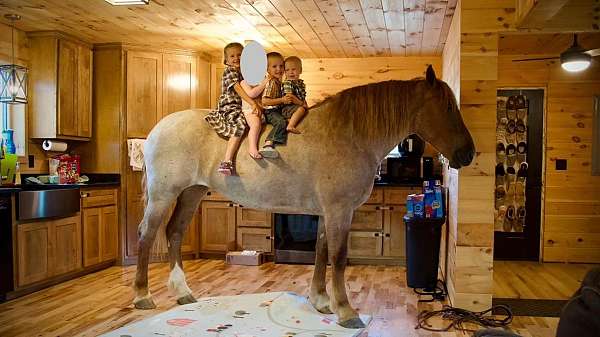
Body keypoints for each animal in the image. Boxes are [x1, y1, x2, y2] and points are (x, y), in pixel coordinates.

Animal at [135, 64, 474, 326]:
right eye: (447, 107)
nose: (468, 154)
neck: (350, 136)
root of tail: (156, 130)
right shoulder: (339, 211)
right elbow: (338, 257)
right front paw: (346, 312)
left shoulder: (328, 213)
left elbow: (321, 252)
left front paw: (321, 302)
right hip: (163, 196)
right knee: (148, 236)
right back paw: (142, 295)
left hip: (191, 193)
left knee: (174, 233)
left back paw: (182, 292)